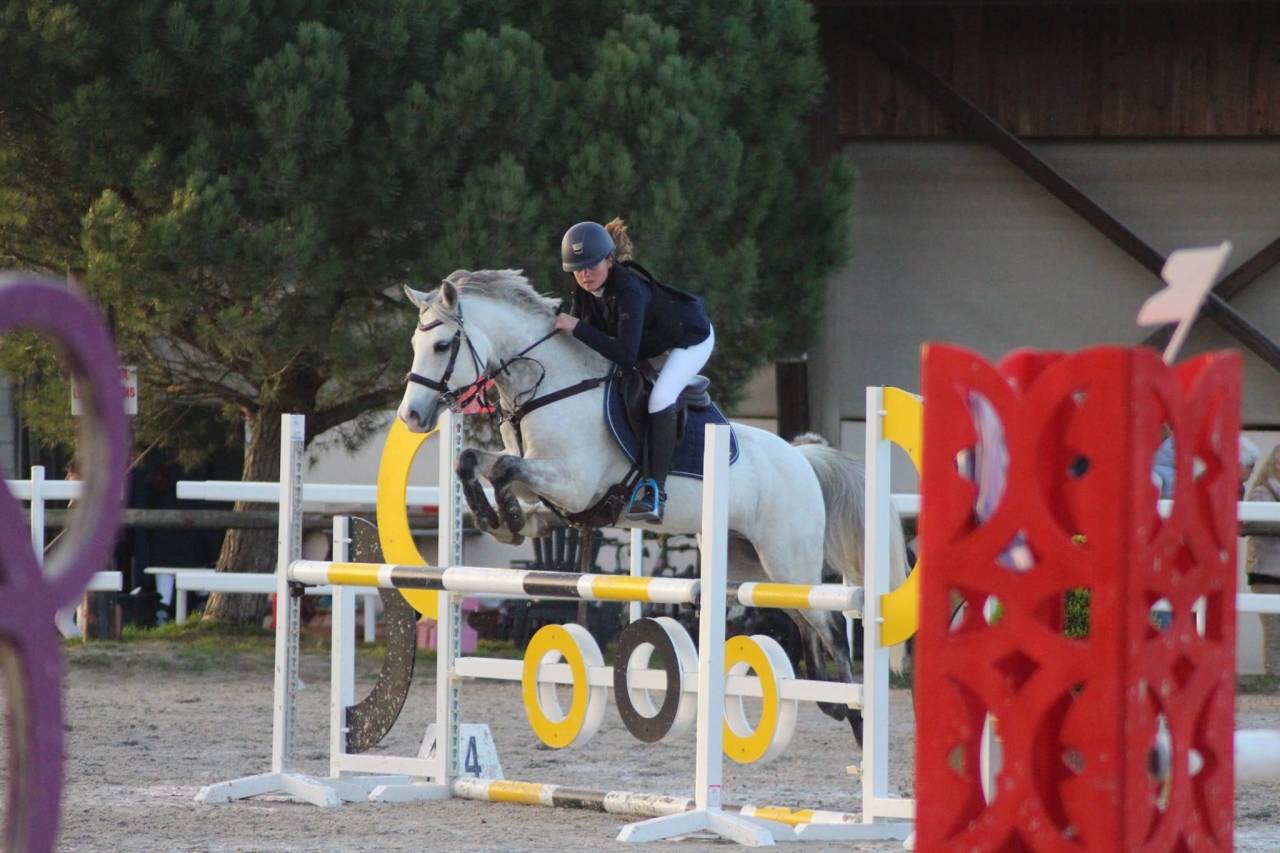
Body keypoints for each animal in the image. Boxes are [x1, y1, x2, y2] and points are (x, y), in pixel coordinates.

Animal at [395, 269, 909, 741]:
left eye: (442, 345)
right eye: (414, 344)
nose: (412, 417)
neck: (550, 386)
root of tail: (802, 457)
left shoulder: (574, 483)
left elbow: (503, 468)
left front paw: (507, 521)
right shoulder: (544, 482)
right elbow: (472, 460)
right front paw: (503, 520)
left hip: (788, 557)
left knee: (831, 625)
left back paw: (854, 713)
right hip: (750, 562)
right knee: (800, 619)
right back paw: (828, 700)